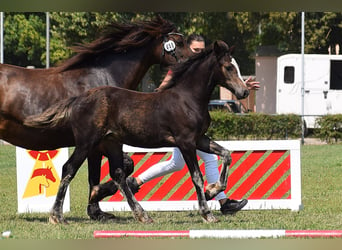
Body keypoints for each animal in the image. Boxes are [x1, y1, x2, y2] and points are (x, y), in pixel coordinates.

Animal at [24, 40, 248, 224]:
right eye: (228, 67)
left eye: (237, 66)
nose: (244, 92)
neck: (188, 99)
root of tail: (78, 99)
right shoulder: (186, 142)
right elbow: (197, 176)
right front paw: (207, 213)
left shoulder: (199, 139)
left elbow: (227, 154)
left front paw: (214, 189)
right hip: (86, 143)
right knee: (69, 168)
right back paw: (56, 216)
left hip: (111, 142)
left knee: (118, 175)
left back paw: (141, 215)